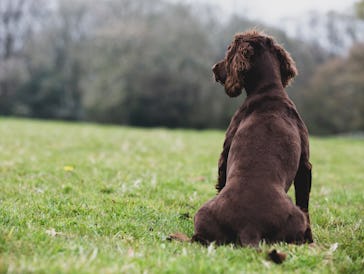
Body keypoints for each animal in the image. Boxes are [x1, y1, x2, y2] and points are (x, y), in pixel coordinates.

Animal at [191, 30, 312, 246]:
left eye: (229, 51)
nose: (214, 68)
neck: (269, 91)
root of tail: (250, 227)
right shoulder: (305, 164)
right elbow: (305, 200)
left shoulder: (225, 151)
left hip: (202, 214)